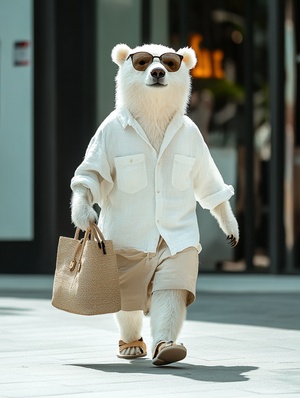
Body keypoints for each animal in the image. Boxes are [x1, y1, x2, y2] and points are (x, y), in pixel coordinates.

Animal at [70, 43, 239, 366]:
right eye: (142, 61)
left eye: (171, 63)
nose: (158, 72)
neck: (152, 116)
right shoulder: (107, 134)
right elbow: (91, 175)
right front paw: (84, 215)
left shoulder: (192, 137)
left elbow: (208, 184)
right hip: (122, 264)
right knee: (127, 303)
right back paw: (131, 345)